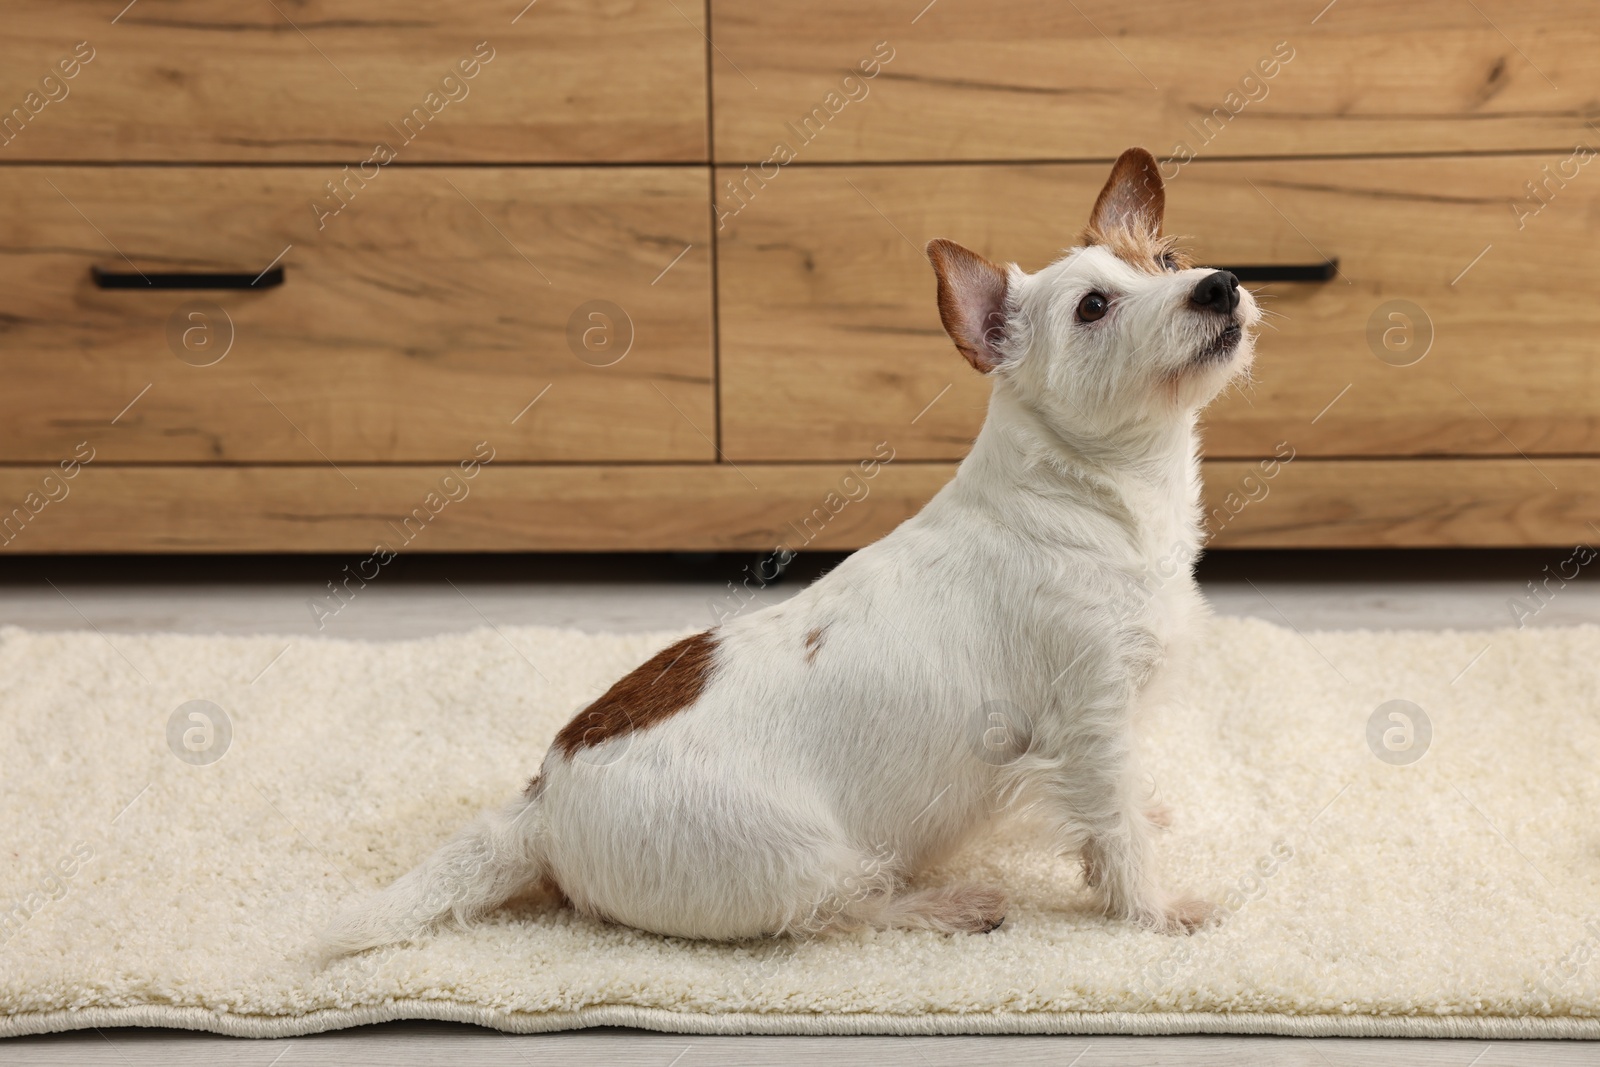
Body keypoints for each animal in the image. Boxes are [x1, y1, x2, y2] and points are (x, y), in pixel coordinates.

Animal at [321, 147, 1248, 953]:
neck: (1097, 498)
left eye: (1168, 256)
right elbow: (1113, 836)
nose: (1221, 284)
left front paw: (1146, 816)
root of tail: (540, 807)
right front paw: (1157, 909)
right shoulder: (1090, 719)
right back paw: (948, 904)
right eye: (1093, 306)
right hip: (807, 859)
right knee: (842, 912)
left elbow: (1118, 809)